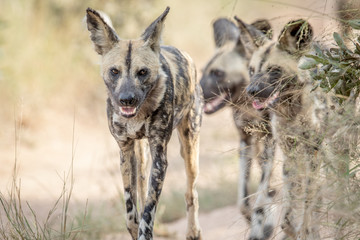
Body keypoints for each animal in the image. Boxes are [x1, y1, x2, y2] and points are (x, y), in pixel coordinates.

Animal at [85, 6, 202, 239]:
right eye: (114, 71)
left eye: (142, 72)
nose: (126, 99)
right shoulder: (125, 151)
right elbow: (132, 212)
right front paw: (134, 227)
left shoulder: (160, 158)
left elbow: (148, 211)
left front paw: (145, 230)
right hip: (141, 158)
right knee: (140, 189)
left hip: (189, 149)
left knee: (191, 192)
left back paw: (193, 231)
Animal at [198, 16, 278, 240]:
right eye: (203, 72)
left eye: (218, 73)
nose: (196, 92)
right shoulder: (246, 142)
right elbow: (243, 201)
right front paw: (256, 221)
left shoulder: (271, 141)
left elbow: (260, 195)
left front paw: (260, 225)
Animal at [246, 19, 328, 239]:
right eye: (251, 71)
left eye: (274, 70)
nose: (251, 91)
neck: (291, 110)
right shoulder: (289, 153)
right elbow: (291, 201)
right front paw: (291, 226)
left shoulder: (313, 151)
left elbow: (308, 195)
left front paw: (304, 228)